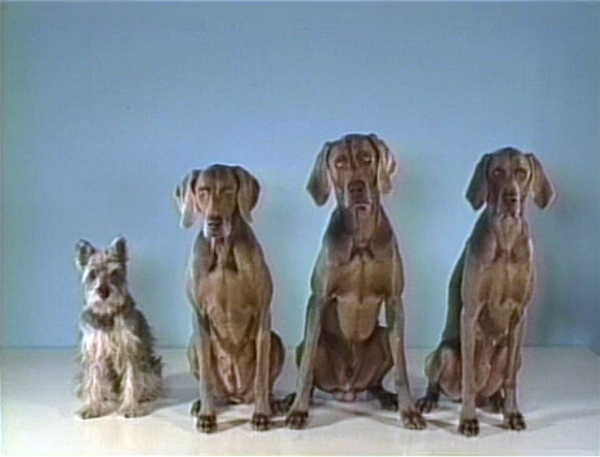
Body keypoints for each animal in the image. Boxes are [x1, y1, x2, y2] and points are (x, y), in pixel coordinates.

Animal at [75, 236, 162, 419]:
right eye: (92, 274)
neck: (107, 313)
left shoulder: (130, 348)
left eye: (114, 272)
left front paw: (129, 407)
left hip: (152, 366)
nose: (103, 292)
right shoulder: (93, 350)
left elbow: (131, 379)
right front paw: (92, 407)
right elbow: (92, 380)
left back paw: (146, 393)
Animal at [174, 164, 286, 433]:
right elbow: (205, 375)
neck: (223, 250)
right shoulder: (199, 316)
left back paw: (273, 402)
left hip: (276, 341)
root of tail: (236, 394)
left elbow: (261, 375)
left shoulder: (263, 312)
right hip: (192, 346)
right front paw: (207, 415)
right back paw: (203, 403)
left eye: (228, 191)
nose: (214, 222)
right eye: (202, 191)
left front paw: (261, 414)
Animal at [285, 133, 426, 430]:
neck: (361, 238)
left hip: (382, 338)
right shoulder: (318, 298)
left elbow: (402, 369)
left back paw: (386, 396)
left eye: (366, 158)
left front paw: (409, 411)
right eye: (339, 162)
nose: (357, 187)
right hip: (308, 345)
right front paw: (298, 411)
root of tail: (347, 390)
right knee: (310, 365)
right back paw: (294, 399)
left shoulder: (395, 300)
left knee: (375, 381)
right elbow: (307, 367)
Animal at [416, 147, 555, 436]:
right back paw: (429, 399)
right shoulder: (470, 312)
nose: (511, 198)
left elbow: (510, 378)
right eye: (497, 171)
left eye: (522, 172)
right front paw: (468, 420)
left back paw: (497, 401)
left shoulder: (520, 315)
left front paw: (512, 414)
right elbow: (468, 375)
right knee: (441, 379)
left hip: (516, 355)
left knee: (501, 380)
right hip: (441, 354)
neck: (506, 239)